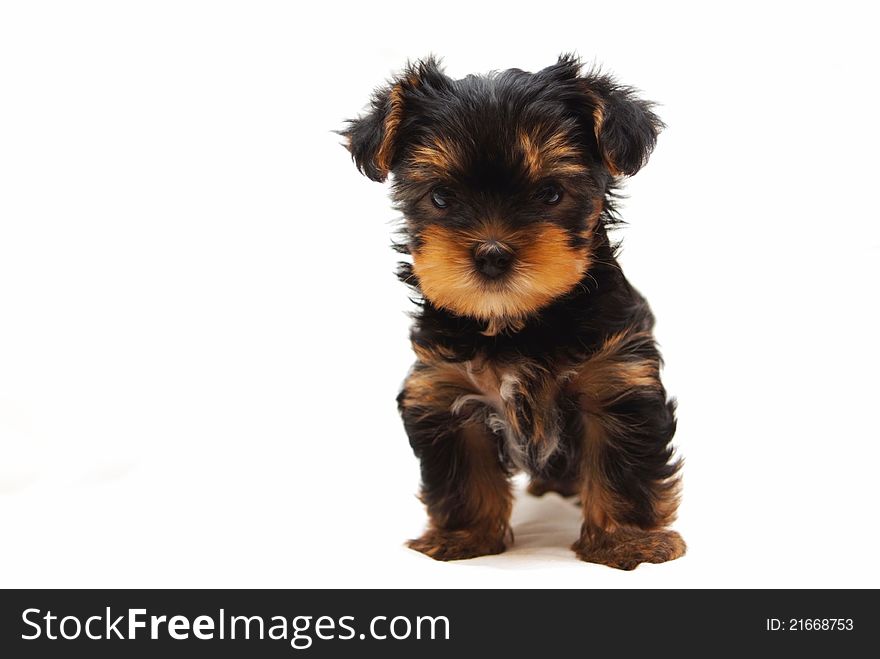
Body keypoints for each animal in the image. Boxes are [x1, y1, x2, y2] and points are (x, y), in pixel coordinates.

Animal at [340, 55, 684, 572]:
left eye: (551, 194)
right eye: (441, 197)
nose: (492, 254)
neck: (519, 323)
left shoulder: (616, 379)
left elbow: (622, 468)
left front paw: (628, 541)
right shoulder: (444, 388)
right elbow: (465, 474)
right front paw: (465, 537)